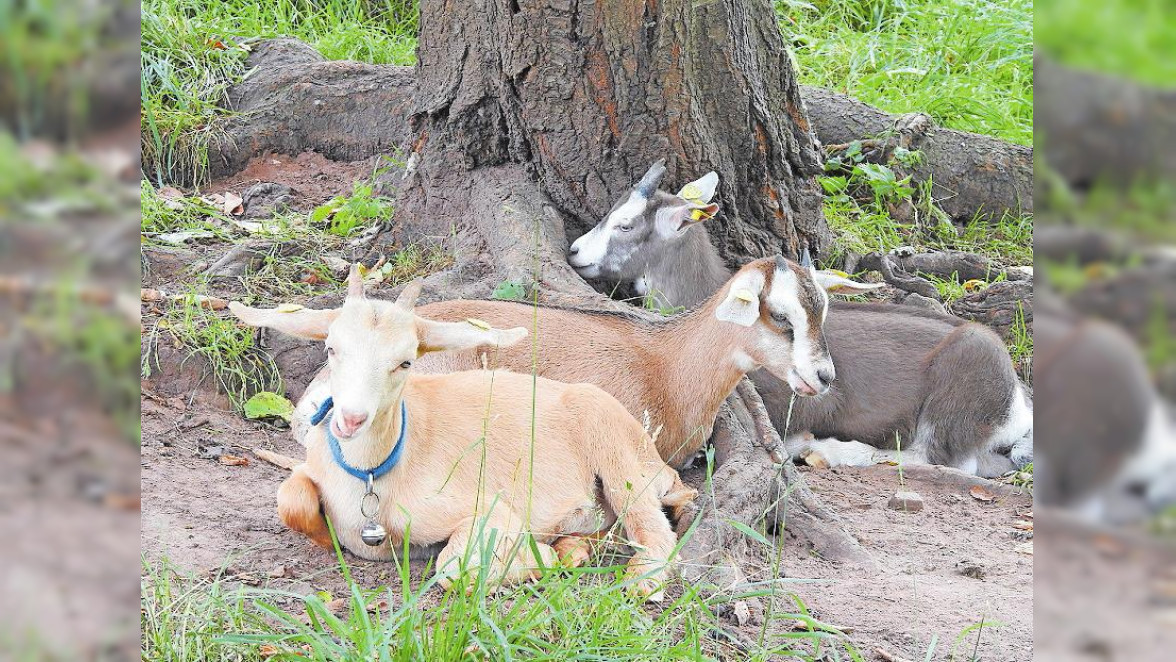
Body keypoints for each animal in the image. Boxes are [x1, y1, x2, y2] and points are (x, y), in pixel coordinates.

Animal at [229, 277, 696, 597]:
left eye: (406, 362)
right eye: (330, 349)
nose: (351, 419)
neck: (373, 476)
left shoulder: (490, 508)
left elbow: (454, 566)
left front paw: (538, 556)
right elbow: (291, 498)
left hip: (616, 450)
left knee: (656, 529)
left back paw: (638, 579)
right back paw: (576, 547)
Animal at [564, 161, 1034, 477]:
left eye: (625, 225)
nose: (574, 251)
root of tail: (1018, 405)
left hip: (959, 390)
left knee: (942, 460)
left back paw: (829, 451)